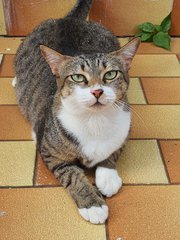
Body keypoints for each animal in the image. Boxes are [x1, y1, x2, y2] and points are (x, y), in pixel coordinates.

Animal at [14, 0, 141, 225]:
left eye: (111, 74)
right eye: (78, 77)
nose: (97, 91)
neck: (95, 120)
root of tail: (68, 20)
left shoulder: (125, 131)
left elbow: (112, 152)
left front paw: (107, 177)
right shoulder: (51, 153)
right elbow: (73, 176)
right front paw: (93, 204)